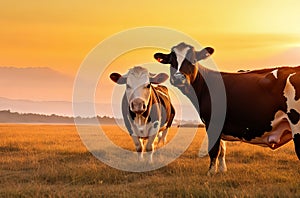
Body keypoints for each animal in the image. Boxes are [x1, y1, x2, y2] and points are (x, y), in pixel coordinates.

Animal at [155, 41, 300, 175]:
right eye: (172, 61)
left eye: (194, 60)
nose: (178, 78)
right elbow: (222, 150)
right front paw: (222, 170)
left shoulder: (213, 122)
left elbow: (214, 150)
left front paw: (211, 172)